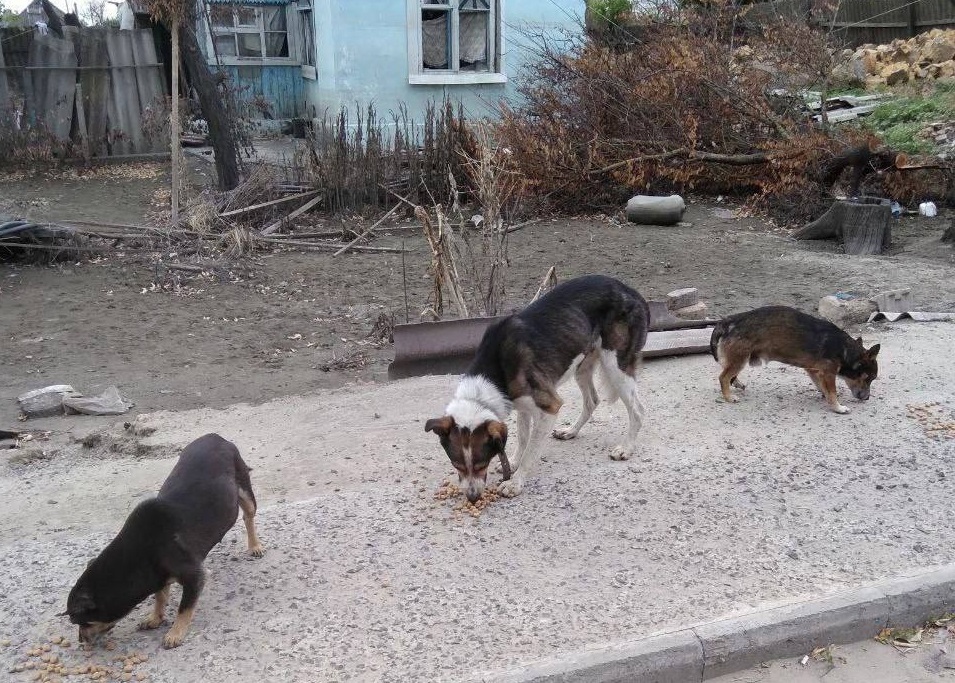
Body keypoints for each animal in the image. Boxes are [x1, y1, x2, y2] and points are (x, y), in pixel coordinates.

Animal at [65, 436, 264, 648]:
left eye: (83, 622)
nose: (81, 641)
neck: (138, 555)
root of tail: (215, 436)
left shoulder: (194, 576)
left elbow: (184, 608)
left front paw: (175, 633)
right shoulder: (157, 575)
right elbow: (160, 597)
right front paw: (155, 618)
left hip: (244, 489)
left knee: (248, 517)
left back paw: (255, 546)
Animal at [430, 274, 652, 502]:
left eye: (481, 464)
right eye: (456, 465)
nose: (472, 497)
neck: (494, 371)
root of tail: (629, 289)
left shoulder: (549, 407)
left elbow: (530, 451)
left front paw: (516, 482)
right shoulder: (521, 405)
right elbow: (522, 438)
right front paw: (513, 462)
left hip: (615, 365)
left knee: (637, 410)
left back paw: (625, 448)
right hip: (581, 364)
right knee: (592, 401)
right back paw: (571, 431)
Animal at [708, 308, 880, 414]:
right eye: (868, 378)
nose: (867, 398)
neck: (845, 350)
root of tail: (729, 320)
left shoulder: (814, 371)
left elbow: (822, 387)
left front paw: (826, 396)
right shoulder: (828, 373)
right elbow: (832, 392)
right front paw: (837, 407)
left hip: (738, 359)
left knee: (728, 372)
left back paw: (737, 384)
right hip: (740, 359)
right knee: (723, 377)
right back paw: (729, 397)